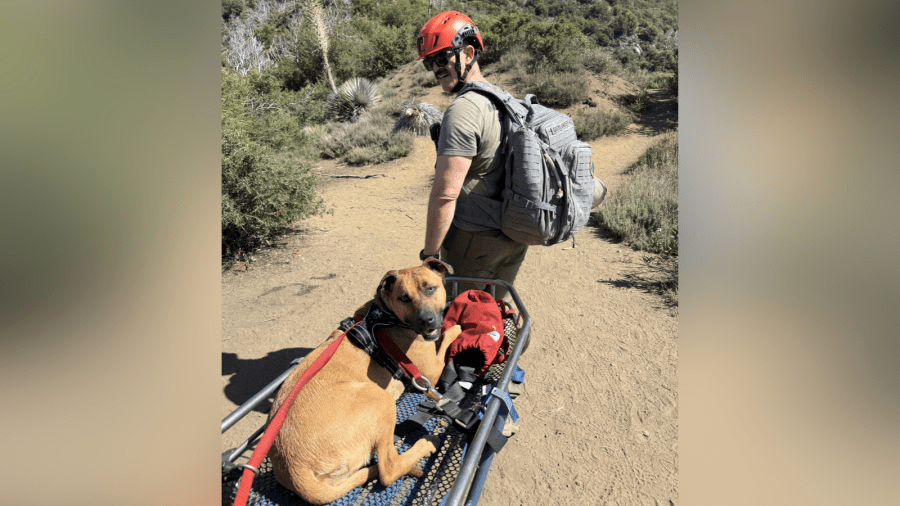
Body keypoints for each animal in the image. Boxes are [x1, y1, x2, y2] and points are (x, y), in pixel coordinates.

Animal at [268, 258, 461, 505]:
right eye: (404, 298)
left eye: (430, 288)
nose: (427, 320)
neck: (385, 316)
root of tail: (294, 469)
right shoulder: (432, 372)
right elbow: (445, 339)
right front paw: (456, 327)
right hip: (380, 399)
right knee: (388, 469)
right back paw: (425, 444)